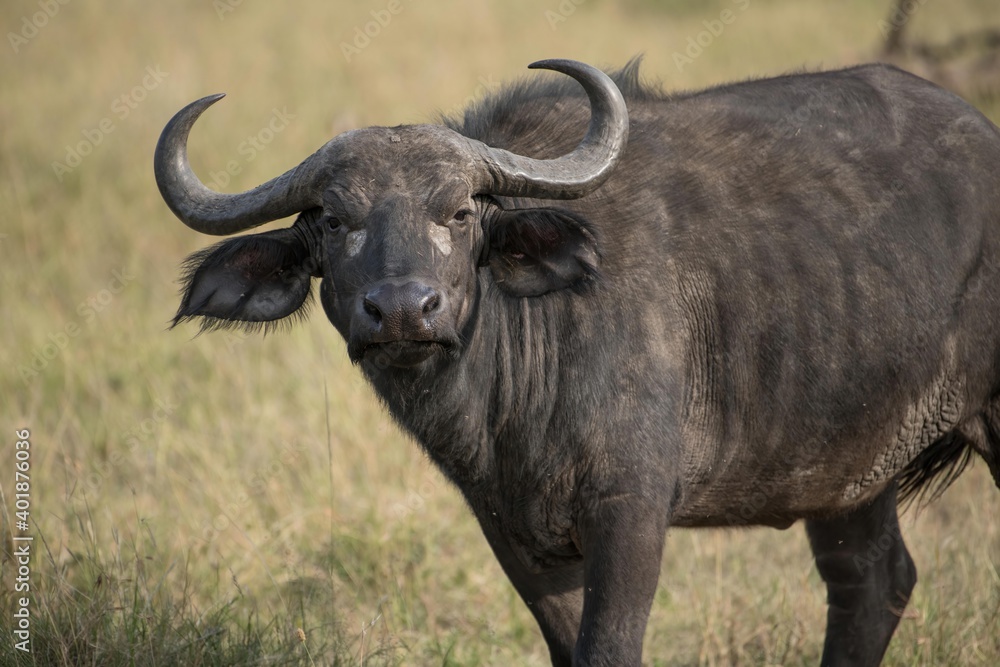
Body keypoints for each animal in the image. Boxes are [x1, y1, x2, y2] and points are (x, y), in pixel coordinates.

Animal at [154, 60, 1000, 664]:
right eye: (333, 219)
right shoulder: (515, 533)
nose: (401, 310)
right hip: (846, 473)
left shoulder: (632, 511)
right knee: (871, 584)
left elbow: (608, 649)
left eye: (459, 213)